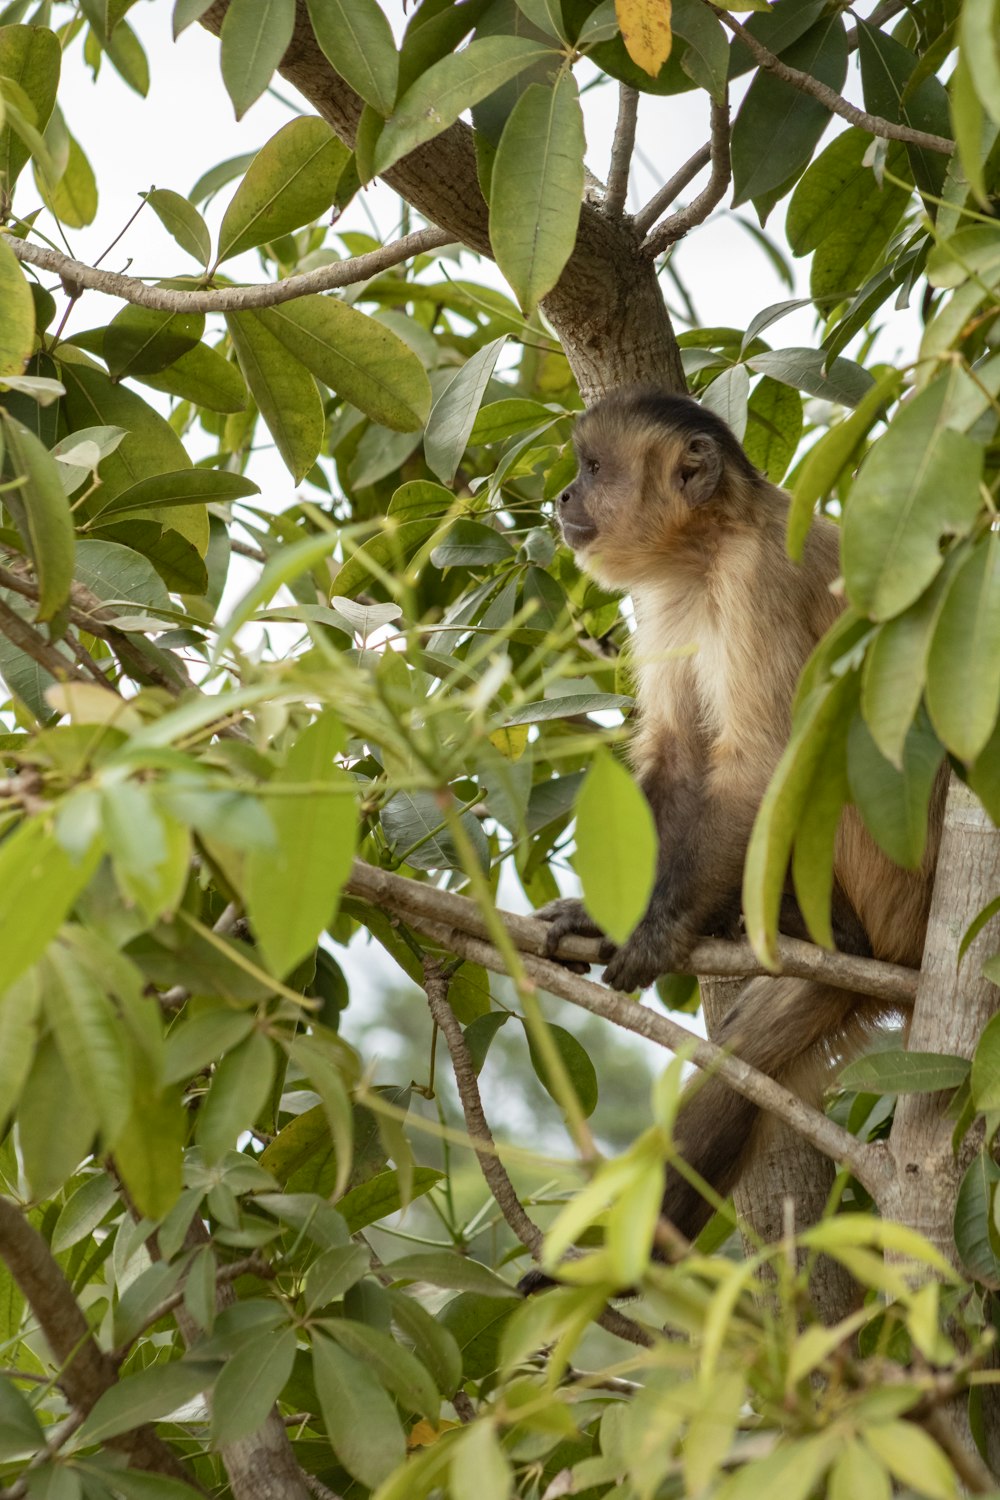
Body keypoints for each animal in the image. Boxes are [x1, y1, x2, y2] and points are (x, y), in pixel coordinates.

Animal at [536, 387, 941, 1242]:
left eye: (594, 468)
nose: (564, 497)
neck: (706, 549)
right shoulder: (659, 606)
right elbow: (676, 758)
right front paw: (600, 914)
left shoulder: (756, 578)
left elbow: (758, 763)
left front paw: (654, 926)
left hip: (890, 882)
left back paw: (827, 934)